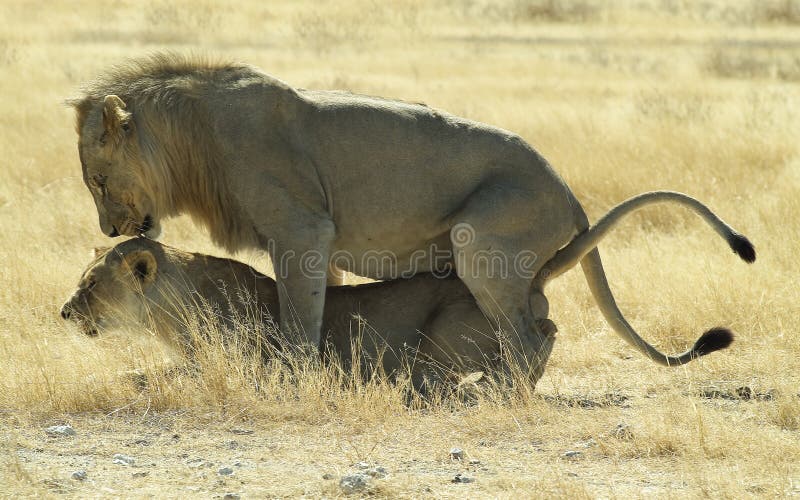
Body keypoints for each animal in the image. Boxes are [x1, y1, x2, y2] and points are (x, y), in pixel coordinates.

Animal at [69, 53, 756, 376]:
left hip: (479, 238)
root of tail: (572, 197)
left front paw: (297, 374)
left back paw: (501, 394)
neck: (196, 137)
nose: (110, 231)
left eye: (98, 180)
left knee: (530, 337)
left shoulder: (302, 228)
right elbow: (320, 304)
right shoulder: (310, 244)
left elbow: (298, 321)